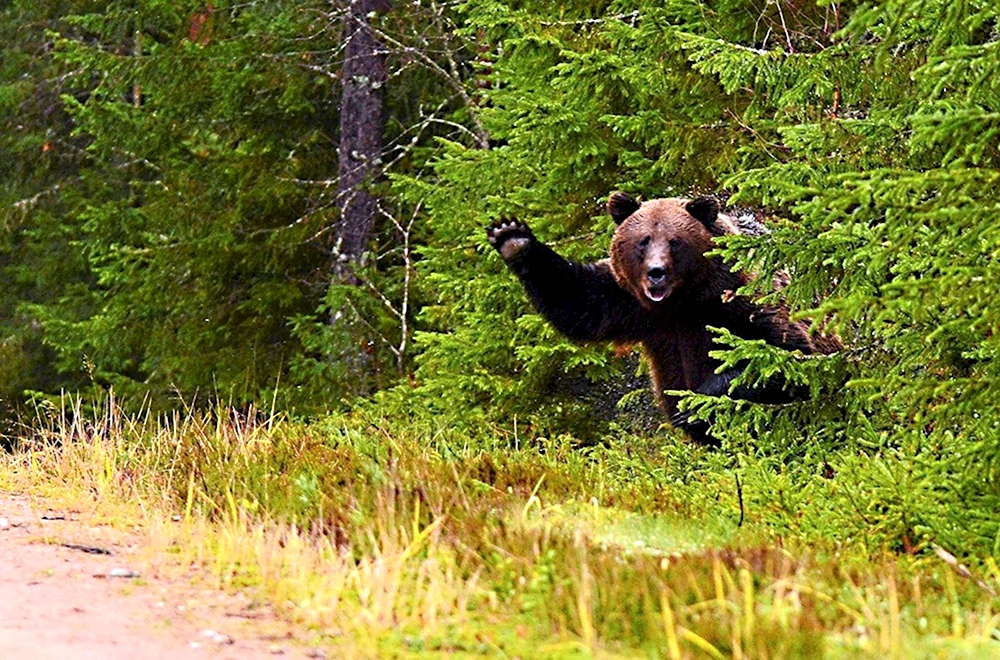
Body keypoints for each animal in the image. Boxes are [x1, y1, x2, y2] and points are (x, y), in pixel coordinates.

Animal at [488, 191, 840, 444]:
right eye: (643, 240)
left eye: (675, 241)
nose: (656, 273)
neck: (682, 303)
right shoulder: (627, 301)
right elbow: (578, 300)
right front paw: (513, 238)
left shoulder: (739, 300)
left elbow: (784, 355)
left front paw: (697, 402)